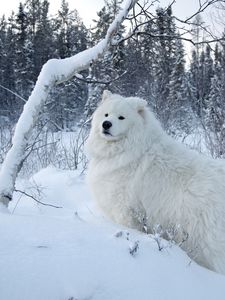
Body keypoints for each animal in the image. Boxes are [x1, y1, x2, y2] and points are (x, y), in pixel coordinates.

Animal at [85, 89, 225, 274]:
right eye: (106, 114)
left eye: (121, 117)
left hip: (201, 239)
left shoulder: (124, 209)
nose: (106, 124)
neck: (126, 149)